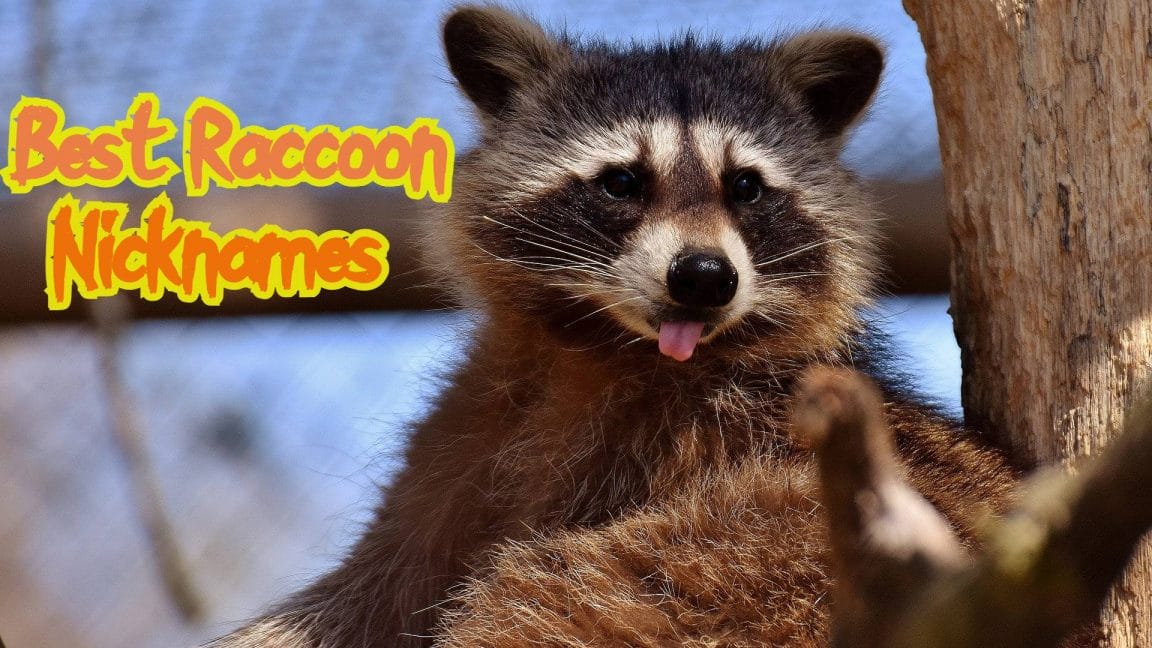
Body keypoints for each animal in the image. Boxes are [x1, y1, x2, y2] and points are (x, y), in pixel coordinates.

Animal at [212, 6, 1028, 647]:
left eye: (746, 187)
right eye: (622, 182)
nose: (704, 277)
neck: (605, 346)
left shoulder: (722, 449)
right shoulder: (474, 429)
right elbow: (371, 586)